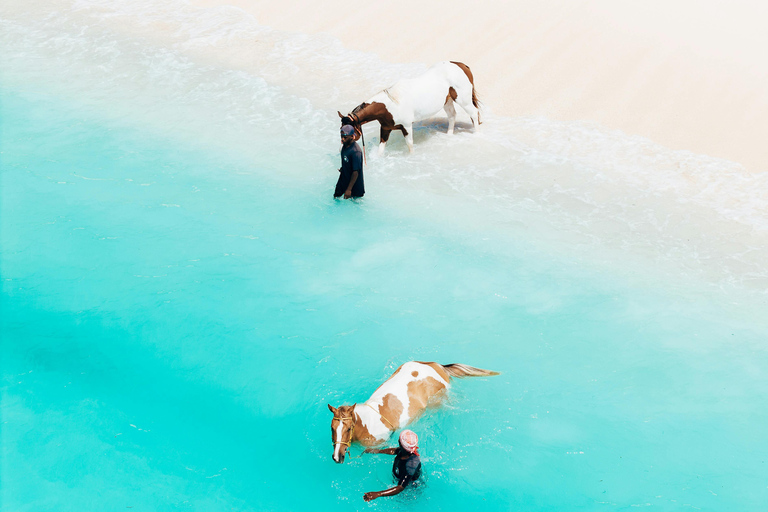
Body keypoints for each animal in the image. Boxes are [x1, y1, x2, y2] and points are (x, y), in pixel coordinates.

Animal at [338, 61, 481, 155]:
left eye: (348, 131)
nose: (343, 148)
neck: (390, 105)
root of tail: (461, 65)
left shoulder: (406, 126)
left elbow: (410, 145)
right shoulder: (385, 128)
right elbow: (381, 149)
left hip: (463, 100)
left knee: (474, 114)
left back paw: (477, 135)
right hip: (448, 101)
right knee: (452, 116)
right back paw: (449, 135)